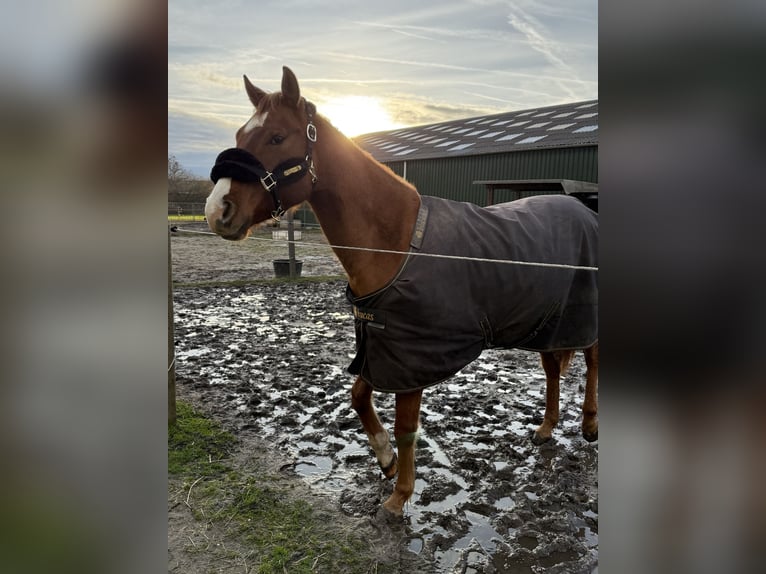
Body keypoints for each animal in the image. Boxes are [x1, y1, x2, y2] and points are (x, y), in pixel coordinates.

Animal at [204, 66, 598, 518]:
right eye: (240, 133)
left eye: (276, 137)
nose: (217, 211)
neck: (395, 240)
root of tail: (584, 209)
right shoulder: (380, 346)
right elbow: (359, 397)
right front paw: (386, 460)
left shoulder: (413, 358)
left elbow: (406, 425)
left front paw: (399, 496)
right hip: (550, 323)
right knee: (552, 369)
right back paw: (546, 429)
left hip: (582, 318)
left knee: (591, 362)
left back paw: (590, 425)